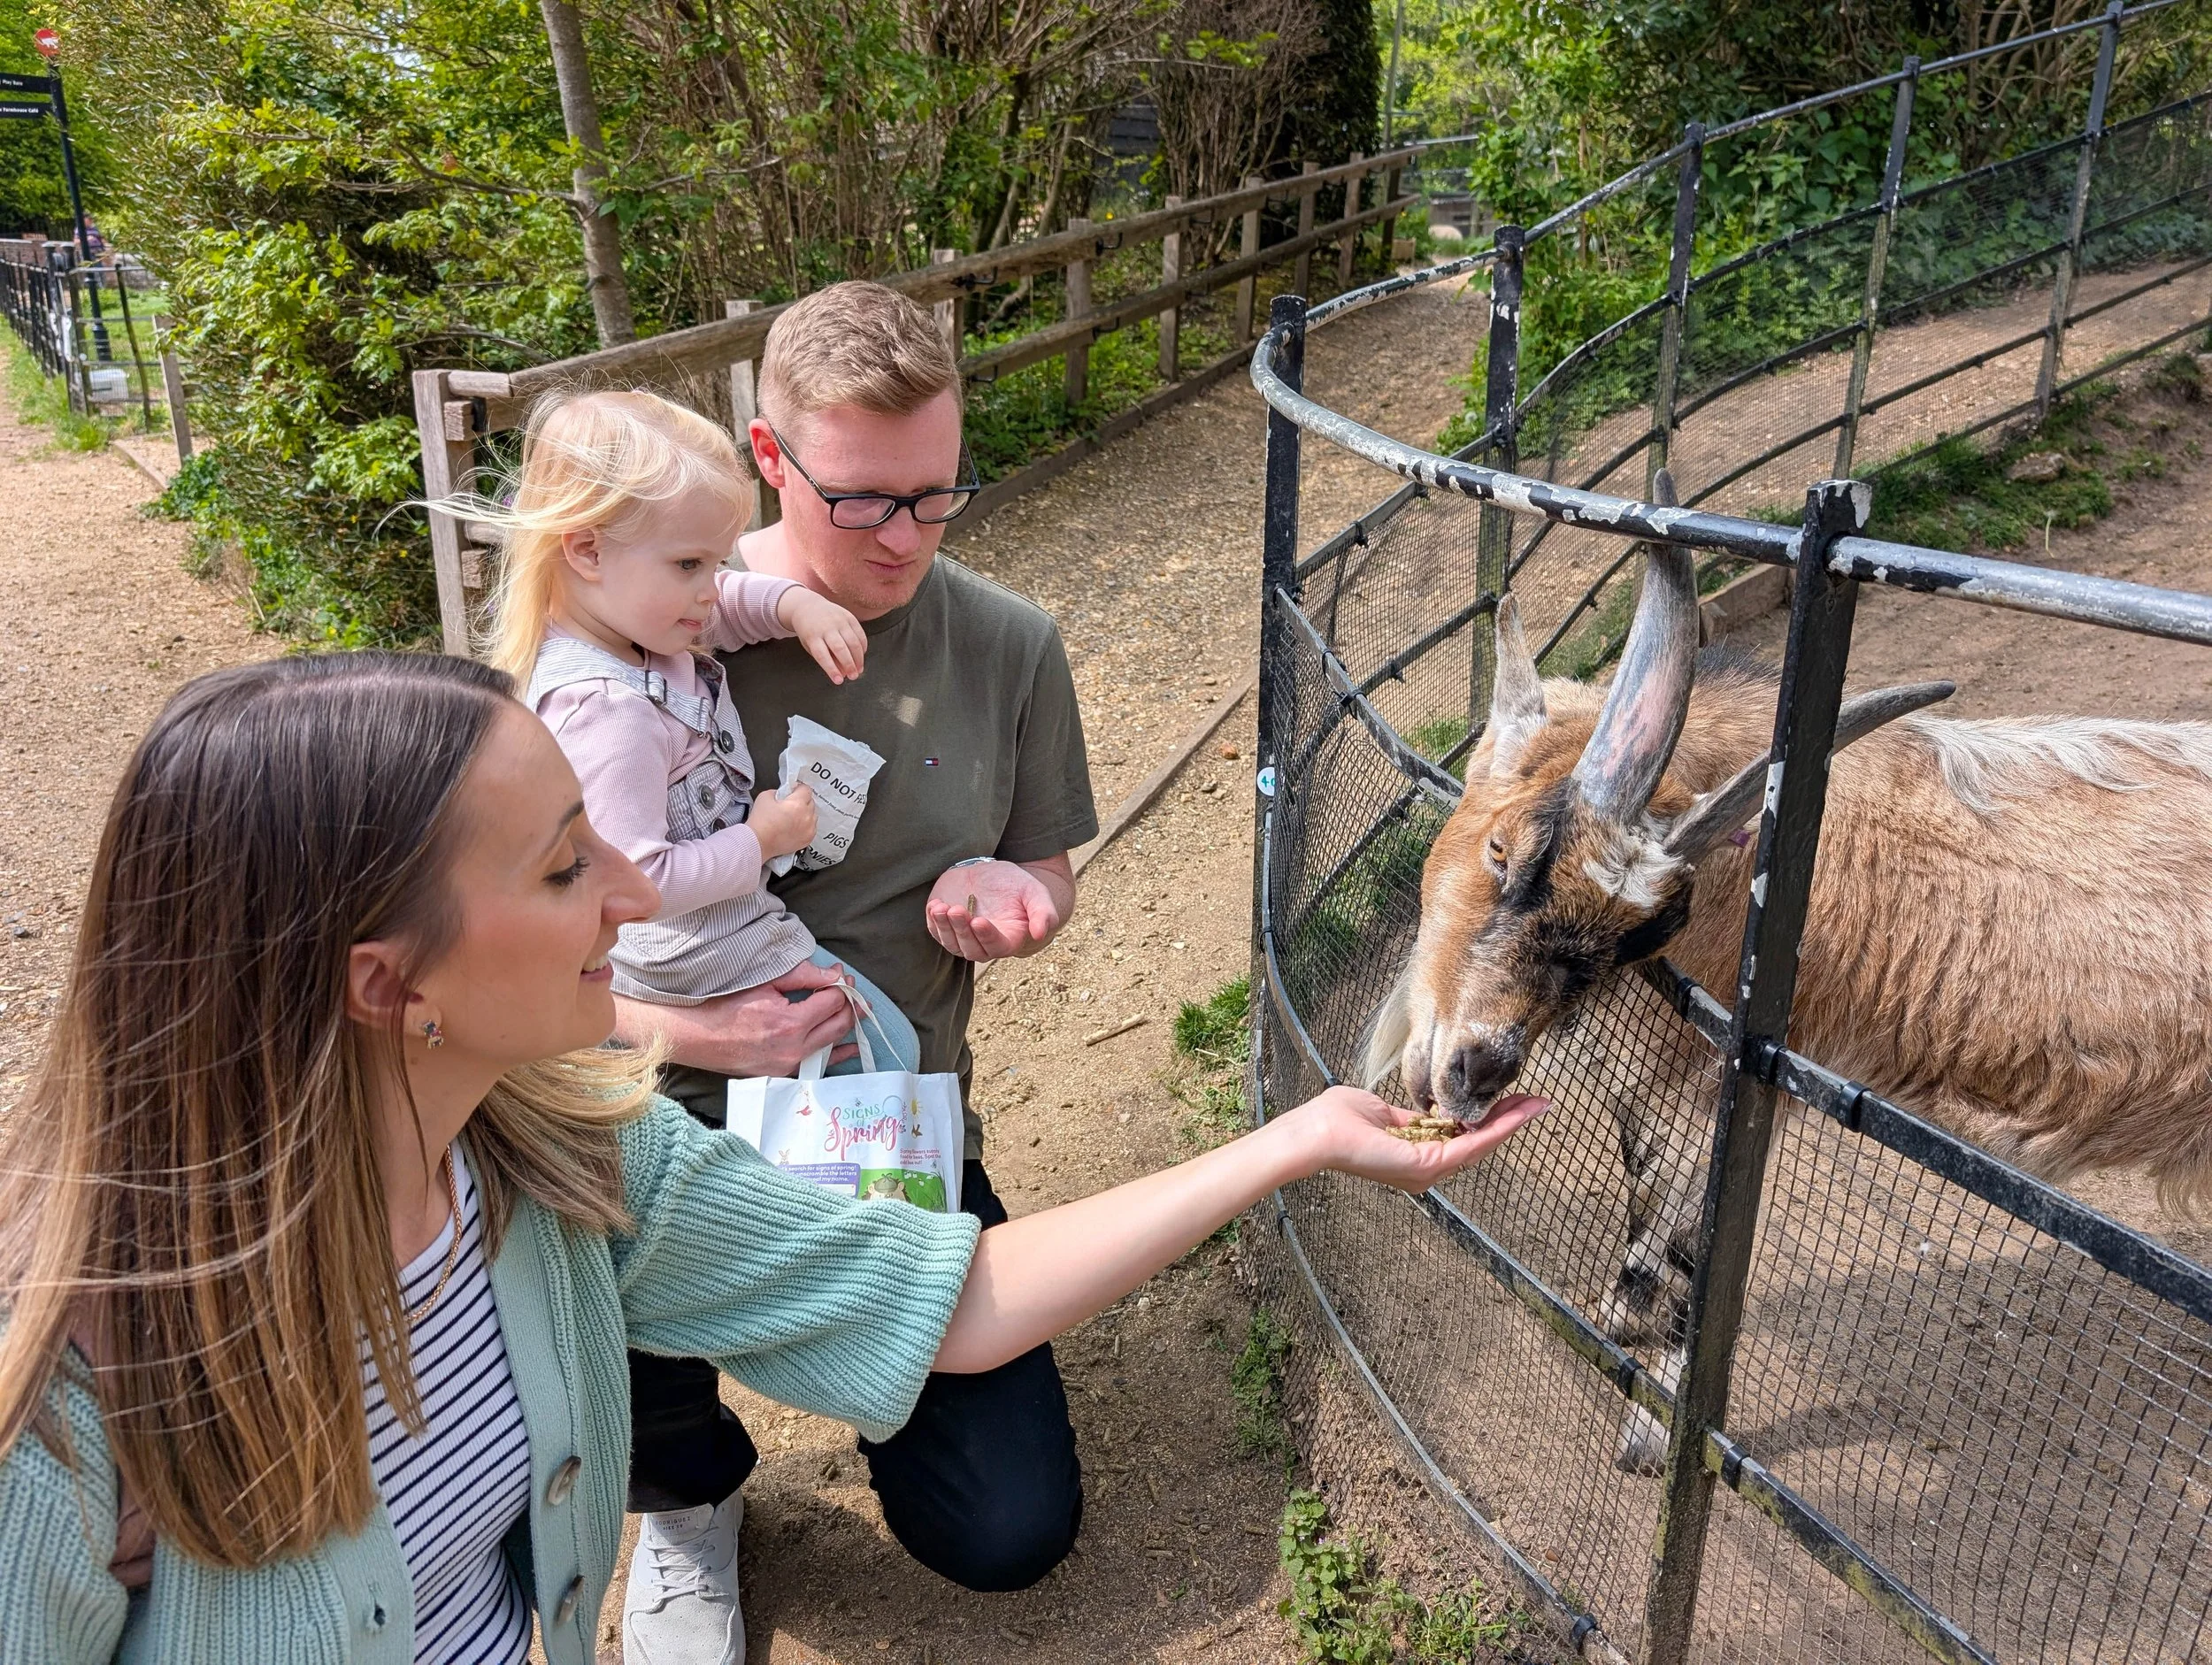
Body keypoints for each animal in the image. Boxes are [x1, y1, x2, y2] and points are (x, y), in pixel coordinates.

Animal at [1365, 489, 2212, 1471]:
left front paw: (1650, 1425)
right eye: (1502, 848)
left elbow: (1678, 1245)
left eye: (1648, 927)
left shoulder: (1718, 1083)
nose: (1475, 1072)